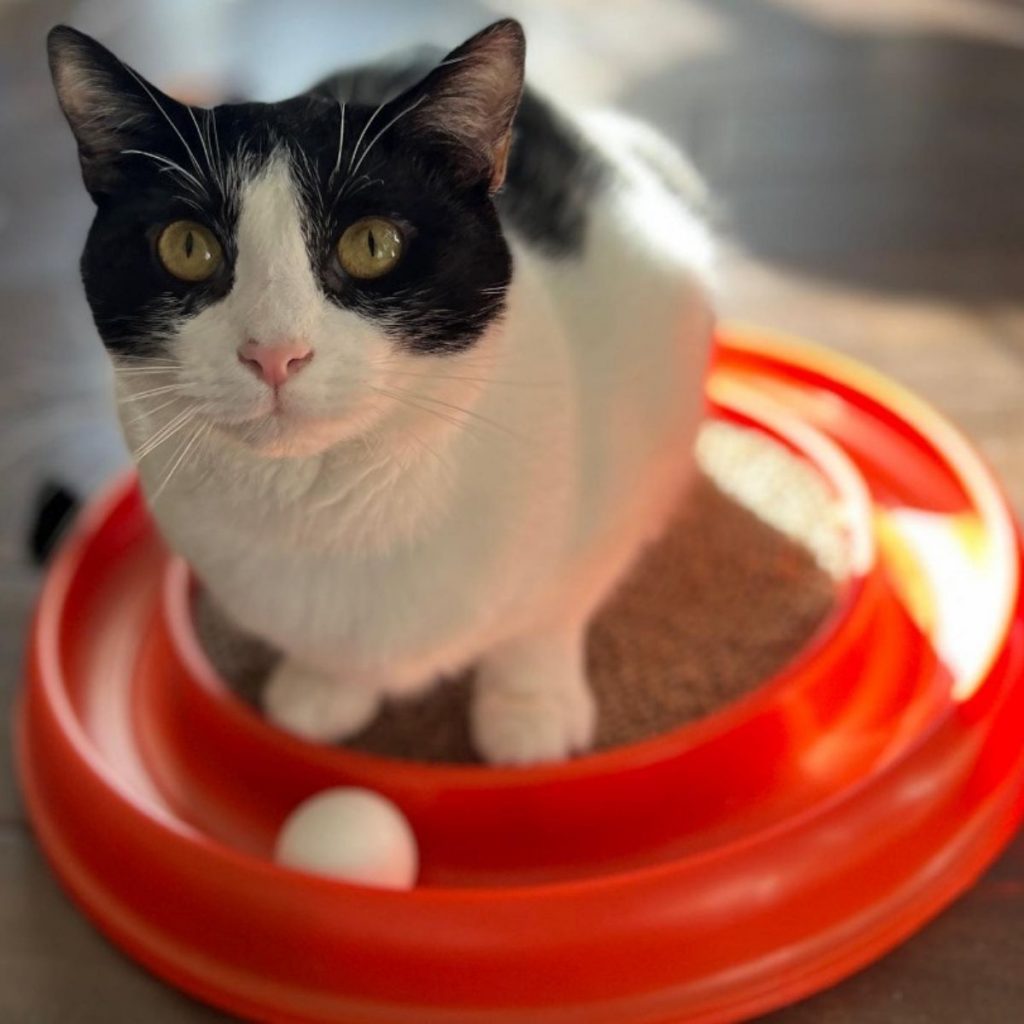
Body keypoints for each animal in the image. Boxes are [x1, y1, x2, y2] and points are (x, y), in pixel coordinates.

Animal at [48, 19, 716, 765]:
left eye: (372, 244)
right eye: (187, 247)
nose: (274, 352)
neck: (334, 513)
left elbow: (550, 608)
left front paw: (527, 706)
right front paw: (325, 687)